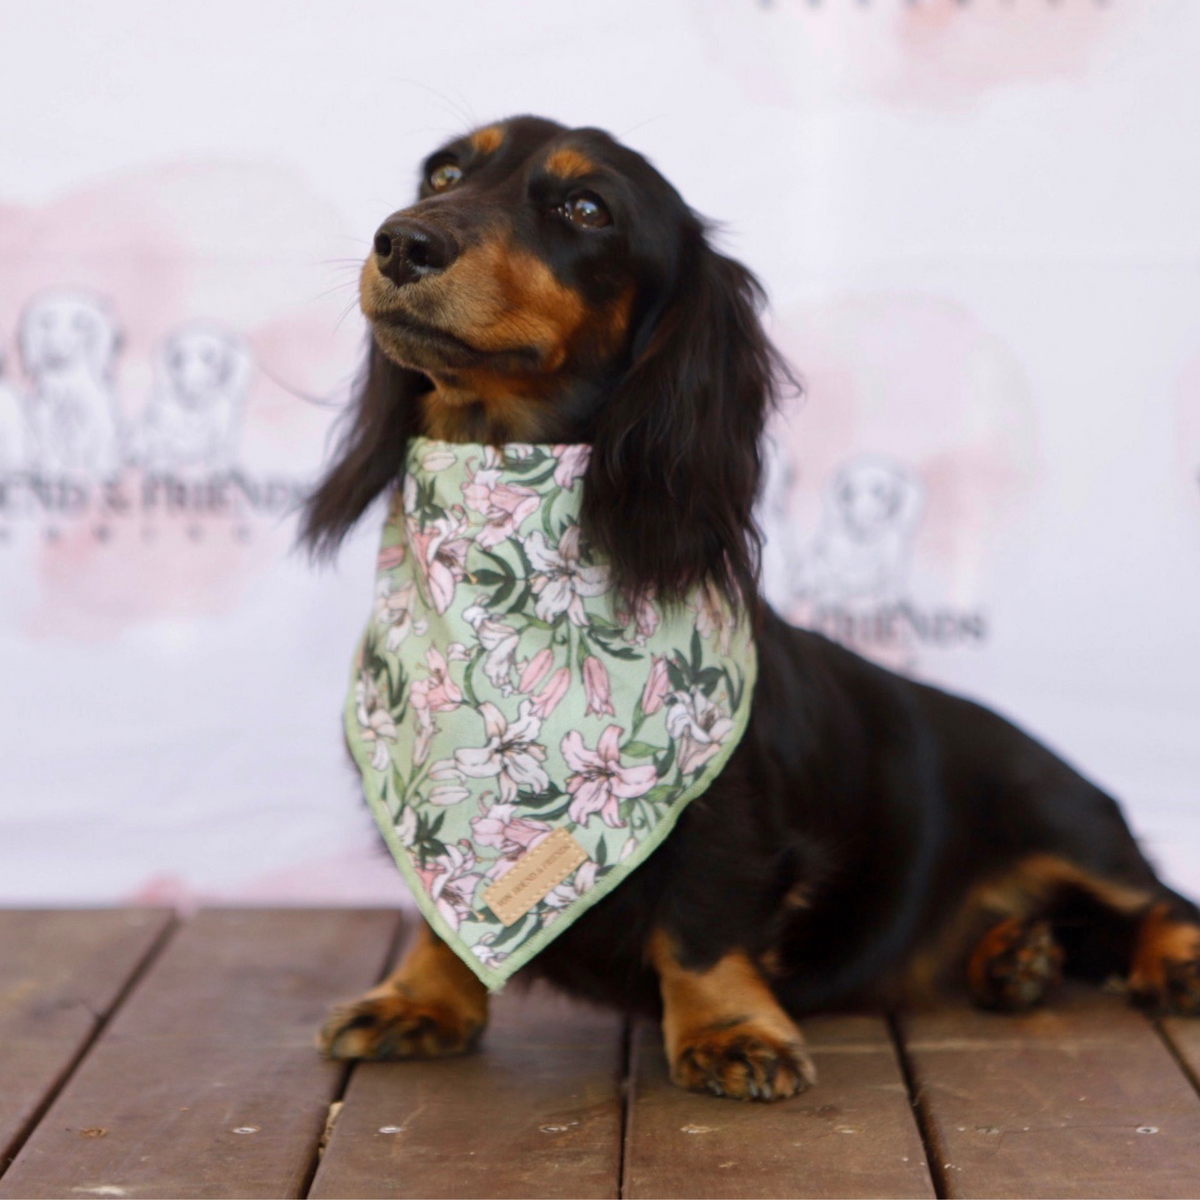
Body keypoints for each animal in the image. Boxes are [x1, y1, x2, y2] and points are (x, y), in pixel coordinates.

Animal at [302, 117, 1200, 1099]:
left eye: (588, 208)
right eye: (445, 172)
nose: (403, 243)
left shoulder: (720, 799)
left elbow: (704, 915)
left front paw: (730, 1030)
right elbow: (440, 911)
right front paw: (421, 998)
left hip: (1070, 822)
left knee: (1154, 900)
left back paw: (1166, 960)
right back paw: (1014, 956)